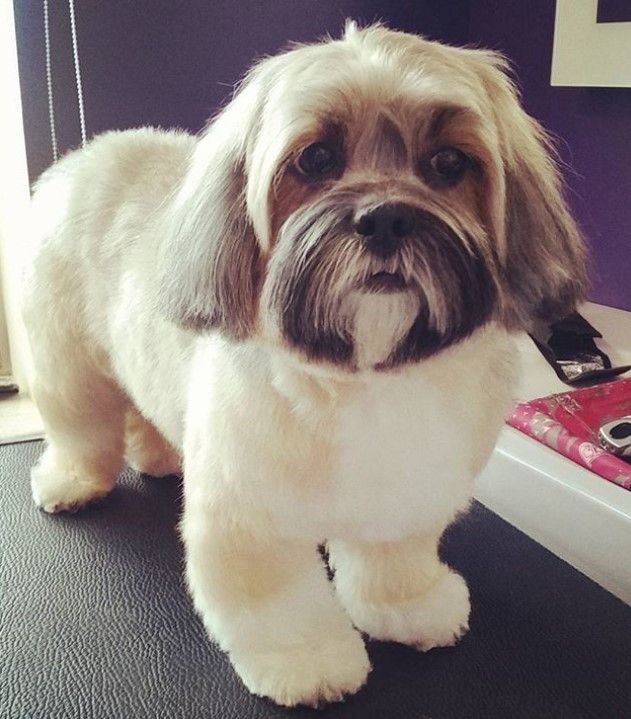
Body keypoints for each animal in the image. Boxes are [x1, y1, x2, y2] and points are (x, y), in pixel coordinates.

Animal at [23, 22, 588, 708]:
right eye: (317, 159)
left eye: (449, 163)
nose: (386, 217)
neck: (364, 374)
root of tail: (87, 155)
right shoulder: (250, 514)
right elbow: (279, 603)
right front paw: (308, 662)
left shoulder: (406, 491)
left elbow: (393, 561)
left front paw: (411, 607)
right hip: (67, 368)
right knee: (81, 429)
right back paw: (72, 483)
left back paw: (159, 455)